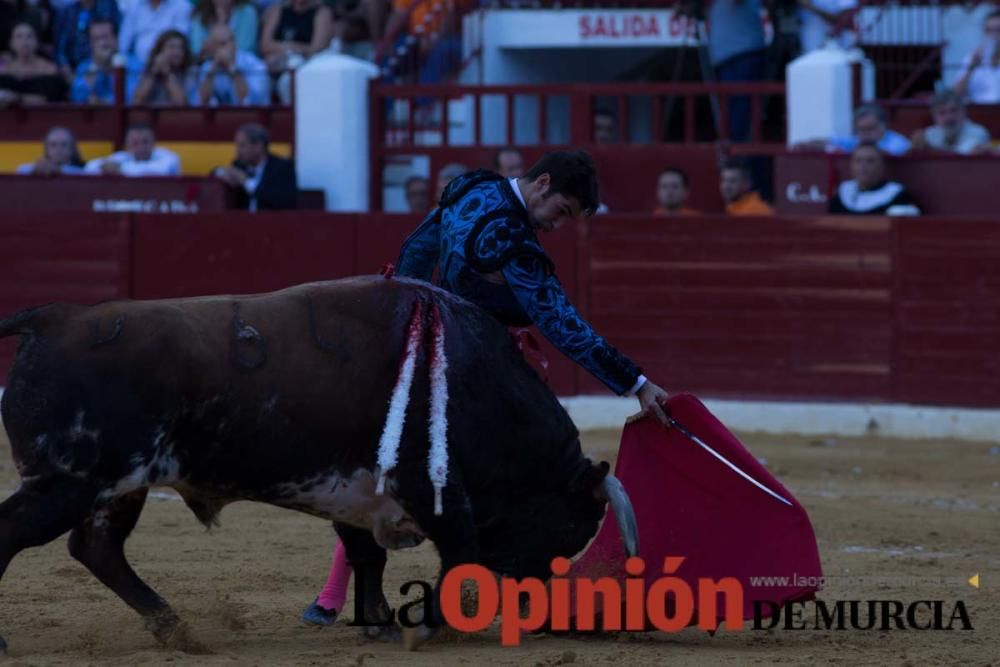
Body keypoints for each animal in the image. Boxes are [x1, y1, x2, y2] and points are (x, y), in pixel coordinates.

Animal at [0, 274, 636, 656]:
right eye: (572, 528)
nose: (536, 607)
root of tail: (51, 319)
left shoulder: (356, 492)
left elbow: (367, 553)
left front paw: (380, 621)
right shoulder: (431, 485)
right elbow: (459, 552)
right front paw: (424, 624)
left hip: (113, 487)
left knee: (97, 549)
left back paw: (175, 628)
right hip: (70, 482)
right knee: (24, 536)